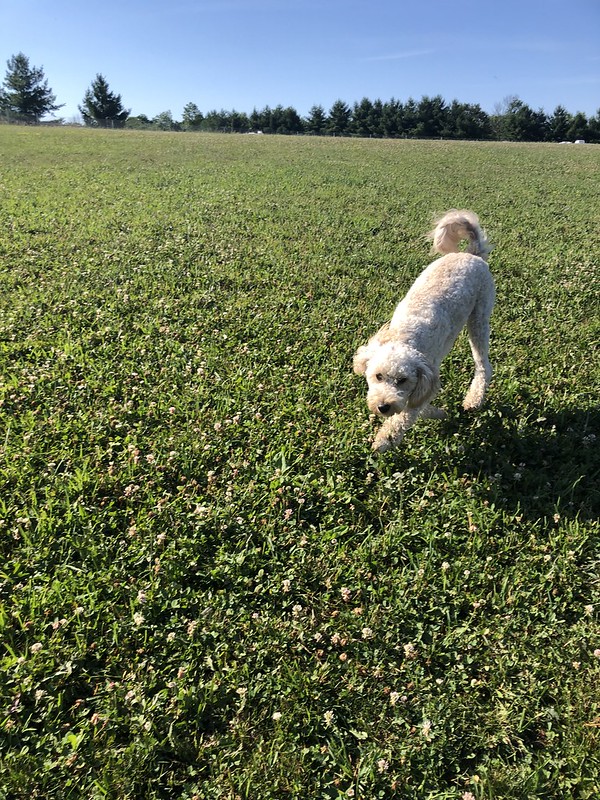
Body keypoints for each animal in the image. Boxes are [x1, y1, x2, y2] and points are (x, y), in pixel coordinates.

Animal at [354, 209, 494, 454]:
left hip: (479, 318)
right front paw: (438, 412)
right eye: (378, 376)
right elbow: (418, 405)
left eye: (402, 380)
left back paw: (474, 399)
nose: (383, 407)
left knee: (483, 365)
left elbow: (406, 415)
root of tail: (473, 254)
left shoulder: (426, 375)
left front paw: (383, 441)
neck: (405, 337)